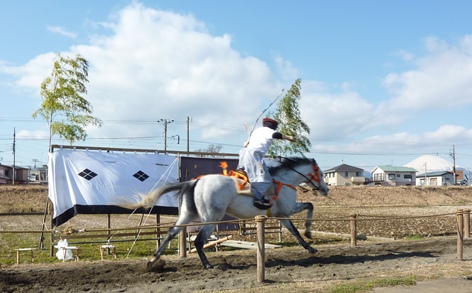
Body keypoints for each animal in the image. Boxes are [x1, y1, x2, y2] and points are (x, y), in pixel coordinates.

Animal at [121, 156, 328, 268]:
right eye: (321, 173)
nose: (326, 189)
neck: (284, 180)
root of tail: (194, 182)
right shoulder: (287, 210)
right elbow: (309, 207)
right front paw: (310, 235)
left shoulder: (282, 216)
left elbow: (294, 230)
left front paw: (310, 246)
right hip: (211, 218)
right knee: (198, 241)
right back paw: (208, 265)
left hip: (188, 215)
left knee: (171, 233)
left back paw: (153, 260)